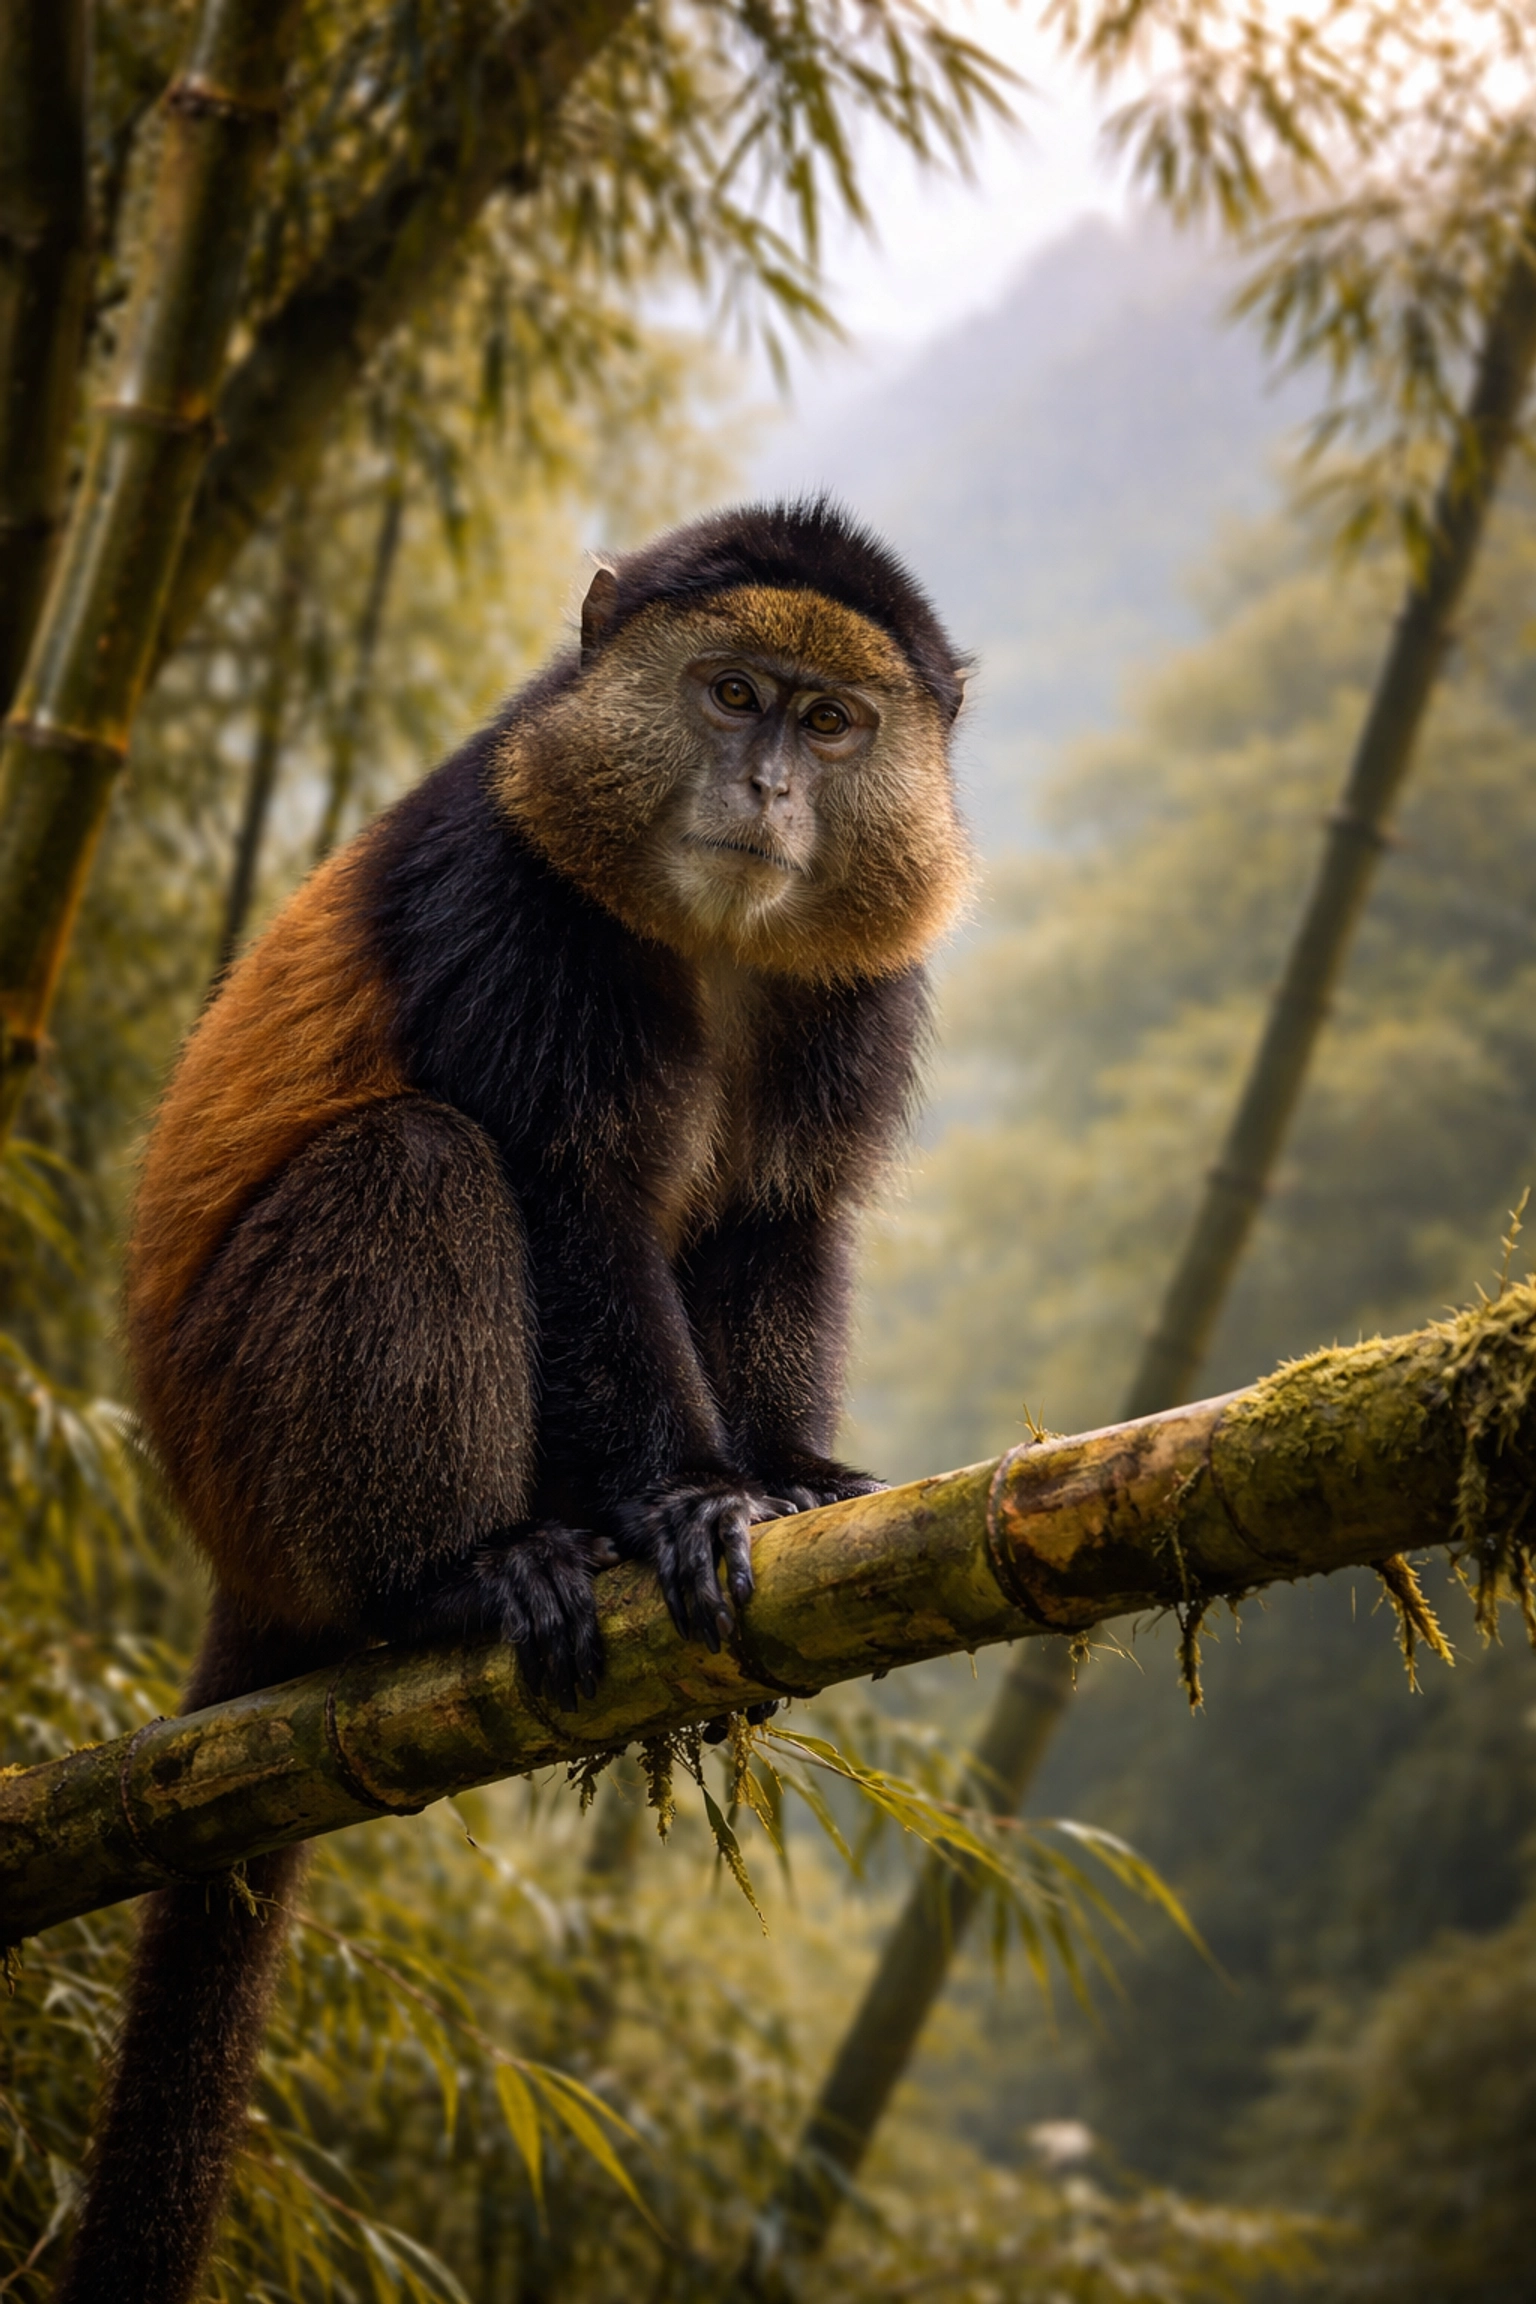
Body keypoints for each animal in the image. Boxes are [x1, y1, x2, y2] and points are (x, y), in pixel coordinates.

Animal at [54, 498, 969, 2304]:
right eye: (730, 693)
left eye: (832, 724)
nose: (766, 787)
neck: (712, 946)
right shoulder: (515, 896)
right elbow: (564, 1194)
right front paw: (686, 1499)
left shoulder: (854, 993)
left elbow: (773, 1222)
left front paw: (782, 1478)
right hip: (256, 1431)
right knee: (416, 1158)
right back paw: (456, 1574)